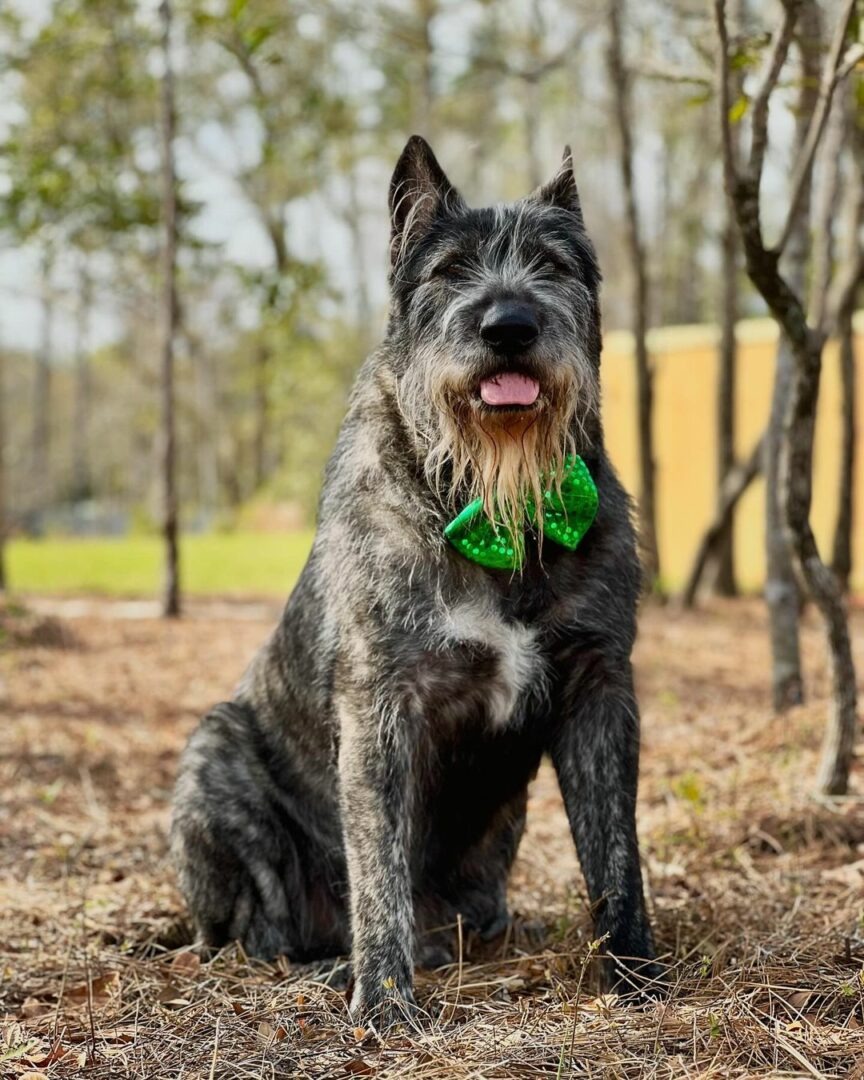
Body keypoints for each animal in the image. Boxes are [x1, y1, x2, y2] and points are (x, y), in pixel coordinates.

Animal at [171, 132, 656, 1019]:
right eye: (450, 270)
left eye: (553, 265)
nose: (509, 325)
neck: (491, 507)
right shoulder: (381, 703)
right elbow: (379, 866)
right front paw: (386, 1003)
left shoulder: (600, 688)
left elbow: (615, 856)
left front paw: (637, 976)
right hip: (213, 757)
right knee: (256, 935)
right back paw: (330, 966)